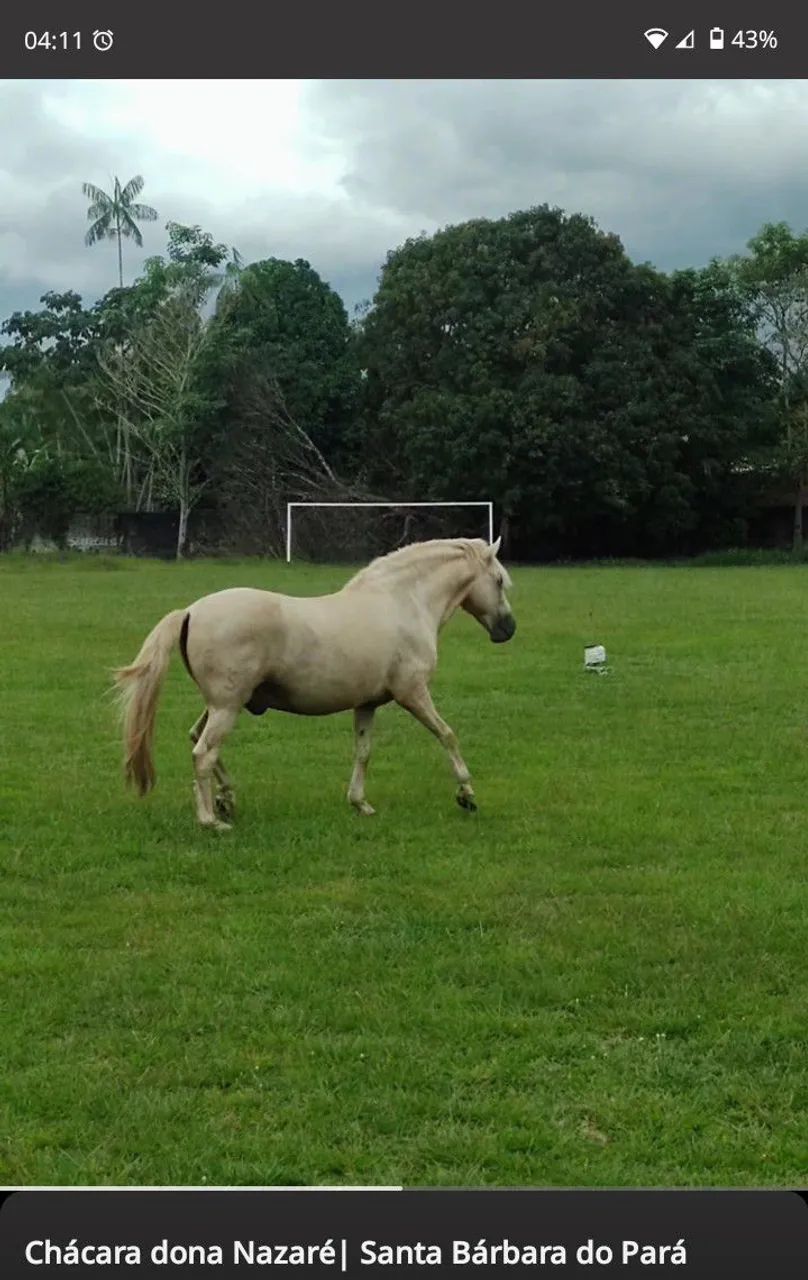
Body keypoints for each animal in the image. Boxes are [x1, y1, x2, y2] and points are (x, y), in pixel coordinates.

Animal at [113, 536, 516, 830]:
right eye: (499, 581)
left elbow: (363, 752)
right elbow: (447, 735)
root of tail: (192, 611)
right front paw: (466, 794)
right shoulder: (412, 694)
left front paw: (360, 803)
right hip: (227, 707)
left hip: (222, 705)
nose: (507, 629)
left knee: (197, 739)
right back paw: (211, 820)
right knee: (203, 752)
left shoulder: (366, 704)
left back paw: (226, 799)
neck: (402, 602)